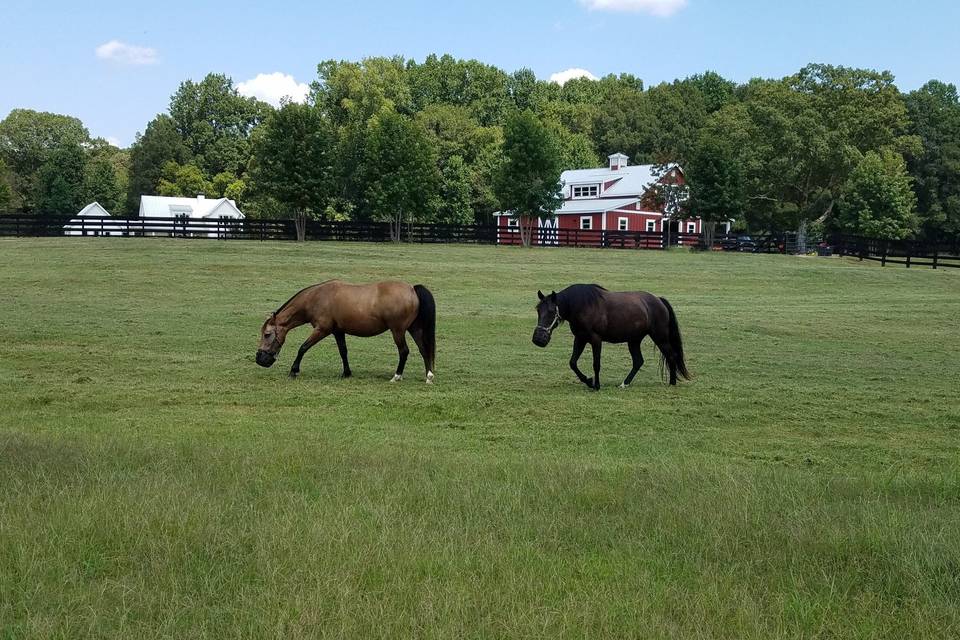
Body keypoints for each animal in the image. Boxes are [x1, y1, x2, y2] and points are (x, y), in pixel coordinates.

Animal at [255, 278, 436, 380]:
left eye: (267, 334)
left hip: (397, 331)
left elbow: (303, 348)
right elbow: (343, 351)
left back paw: (397, 376)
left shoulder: (322, 330)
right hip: (414, 329)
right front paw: (346, 373)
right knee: (424, 349)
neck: (317, 297)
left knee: (404, 351)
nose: (259, 359)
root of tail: (412, 289)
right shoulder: (338, 331)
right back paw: (428, 376)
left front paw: (294, 371)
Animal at [532, 284, 688, 390]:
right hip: (634, 340)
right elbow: (573, 363)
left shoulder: (596, 340)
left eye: (551, 311)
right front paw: (589, 381)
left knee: (671, 355)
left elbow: (596, 364)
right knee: (638, 361)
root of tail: (659, 300)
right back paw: (624, 384)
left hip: (660, 337)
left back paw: (672, 383)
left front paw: (596, 385)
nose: (538, 339)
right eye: (538, 310)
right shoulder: (580, 339)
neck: (582, 305)